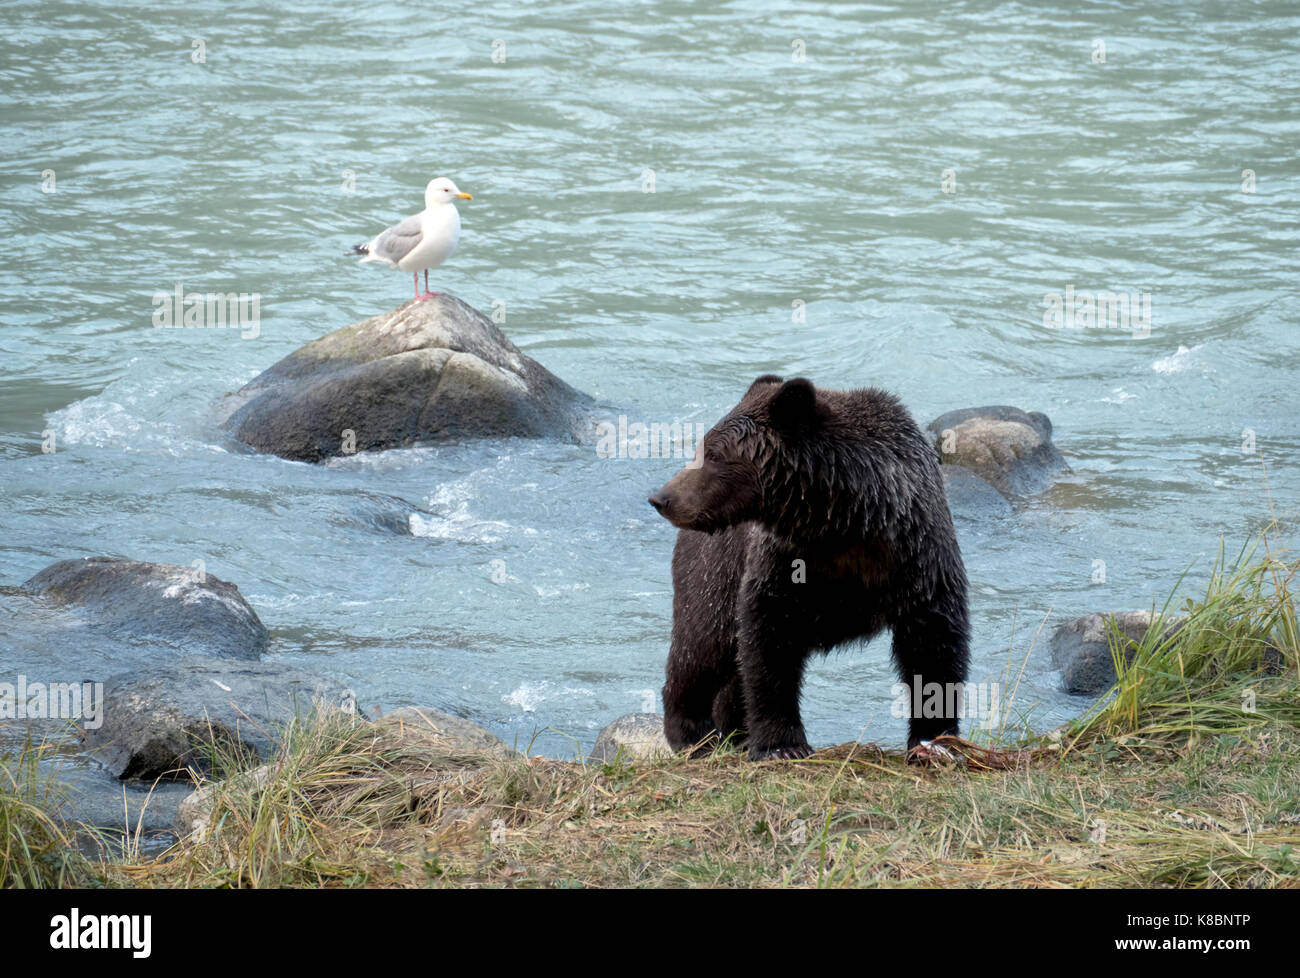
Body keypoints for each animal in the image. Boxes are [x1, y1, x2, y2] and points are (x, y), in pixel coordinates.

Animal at [647, 374, 967, 754]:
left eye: (713, 454)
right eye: (703, 447)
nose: (661, 497)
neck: (844, 524)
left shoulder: (916, 555)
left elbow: (933, 643)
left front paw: (936, 740)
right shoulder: (781, 563)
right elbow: (769, 641)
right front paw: (781, 743)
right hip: (714, 568)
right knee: (702, 643)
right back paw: (693, 732)